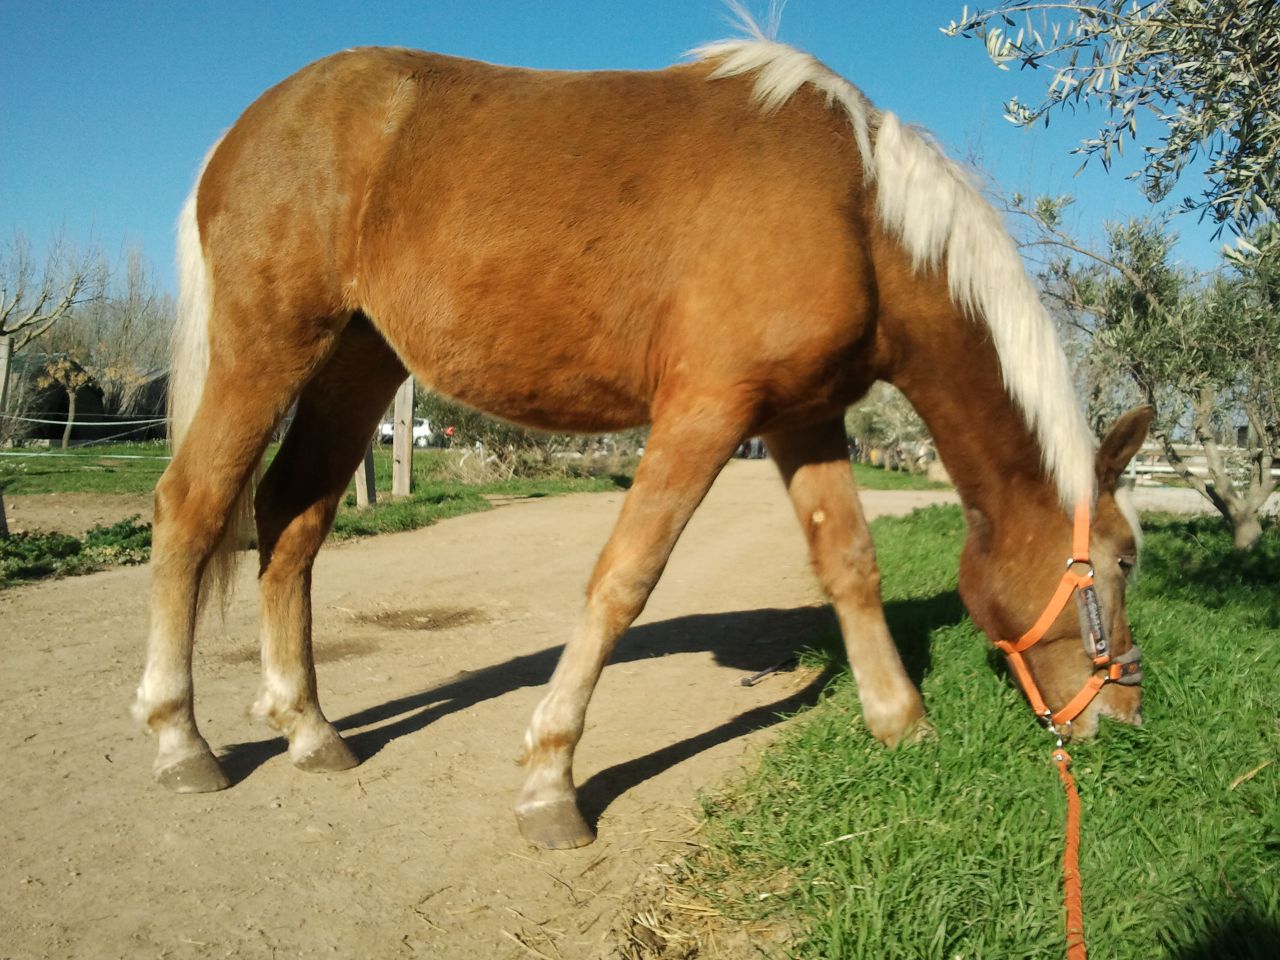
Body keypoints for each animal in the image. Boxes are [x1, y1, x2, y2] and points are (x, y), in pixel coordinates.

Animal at [134, 28, 1152, 850]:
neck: (857, 208)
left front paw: (904, 724)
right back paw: (180, 738)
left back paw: (309, 729)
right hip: (266, 352)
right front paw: (551, 783)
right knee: (191, 508)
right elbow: (625, 579)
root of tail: (248, 127)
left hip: (357, 362)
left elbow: (851, 567)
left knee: (290, 520)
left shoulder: (801, 420)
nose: (1128, 718)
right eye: (1123, 559)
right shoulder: (706, 411)